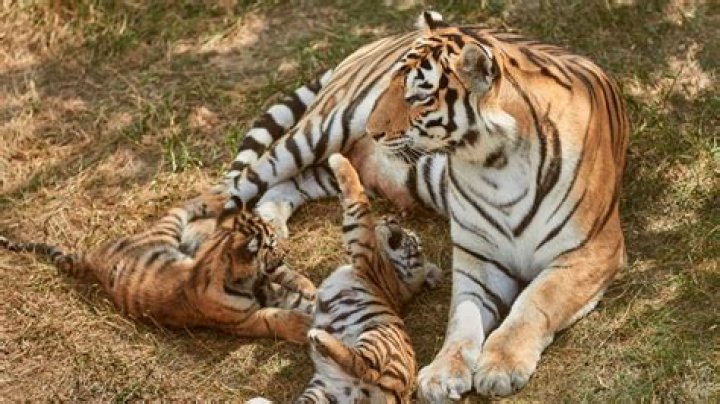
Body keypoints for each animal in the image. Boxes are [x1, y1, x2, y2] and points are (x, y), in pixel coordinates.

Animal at [0, 192, 316, 343]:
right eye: (271, 244)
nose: (287, 250)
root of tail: (92, 255)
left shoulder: (265, 283)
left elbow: (287, 285)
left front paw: (309, 290)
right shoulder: (242, 322)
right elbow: (275, 317)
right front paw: (301, 326)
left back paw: (220, 201)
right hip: (166, 228)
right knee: (179, 207)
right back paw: (217, 197)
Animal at [225, 10, 629, 400]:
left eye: (418, 96)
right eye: (392, 84)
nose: (372, 130)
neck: (495, 164)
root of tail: (378, 41)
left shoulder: (592, 251)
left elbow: (534, 303)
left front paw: (500, 367)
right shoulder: (478, 257)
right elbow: (463, 318)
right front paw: (442, 373)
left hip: (332, 165)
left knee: (286, 186)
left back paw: (272, 229)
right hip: (318, 132)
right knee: (237, 184)